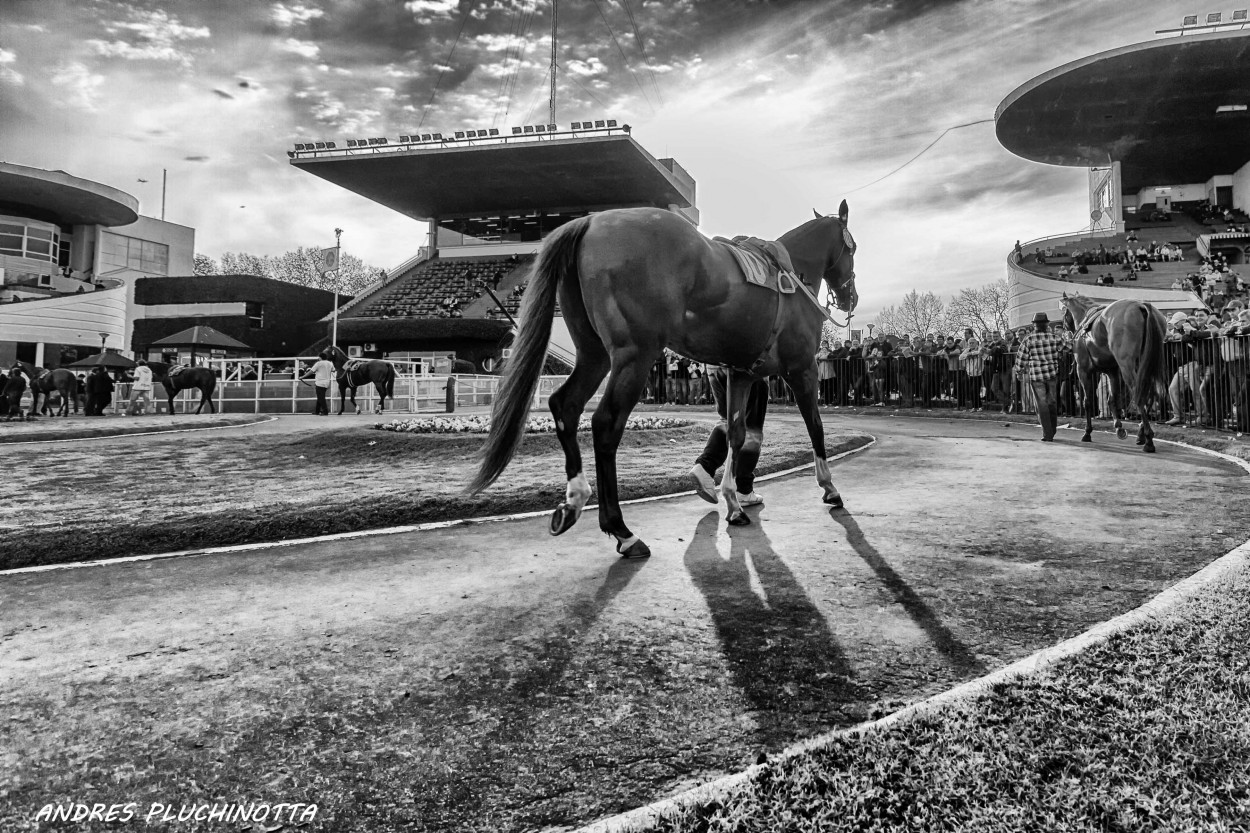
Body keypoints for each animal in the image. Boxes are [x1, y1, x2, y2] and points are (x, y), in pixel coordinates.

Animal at [470, 203, 860, 557]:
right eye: (852, 248)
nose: (851, 297)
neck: (791, 274)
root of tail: (591, 221)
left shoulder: (741, 374)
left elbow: (736, 433)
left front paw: (733, 501)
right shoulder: (802, 370)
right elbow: (815, 428)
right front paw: (830, 488)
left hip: (595, 354)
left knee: (565, 405)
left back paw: (575, 500)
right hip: (635, 356)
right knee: (605, 424)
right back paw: (621, 530)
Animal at [1060, 288, 1165, 450]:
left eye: (1064, 313)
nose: (1065, 333)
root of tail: (1141, 306)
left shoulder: (1083, 370)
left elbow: (1087, 401)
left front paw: (1087, 432)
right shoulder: (1112, 371)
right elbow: (1112, 398)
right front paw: (1118, 427)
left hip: (1127, 366)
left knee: (1139, 394)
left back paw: (1148, 439)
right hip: (1146, 365)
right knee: (1150, 394)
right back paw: (1142, 434)